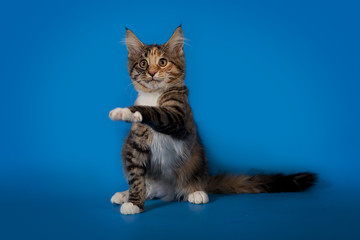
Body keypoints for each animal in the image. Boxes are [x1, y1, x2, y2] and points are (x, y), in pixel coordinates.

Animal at [108, 26, 316, 216]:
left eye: (163, 62)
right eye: (143, 63)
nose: (151, 72)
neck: (153, 95)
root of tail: (167, 191)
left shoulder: (178, 118)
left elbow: (154, 112)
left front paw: (125, 111)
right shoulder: (135, 143)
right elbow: (136, 178)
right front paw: (134, 202)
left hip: (197, 160)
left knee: (192, 184)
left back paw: (196, 192)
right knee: (148, 186)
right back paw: (124, 194)